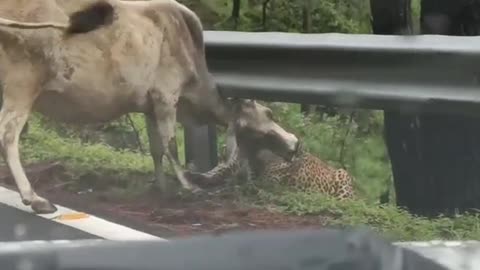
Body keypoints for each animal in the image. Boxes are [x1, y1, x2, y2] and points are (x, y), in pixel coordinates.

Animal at [0, 0, 300, 214]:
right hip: (22, 85)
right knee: (9, 135)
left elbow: (156, 149)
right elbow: (171, 145)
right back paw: (33, 197)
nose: (295, 144)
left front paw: (161, 186)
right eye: (268, 113)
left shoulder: (149, 106)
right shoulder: (167, 97)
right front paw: (188, 186)